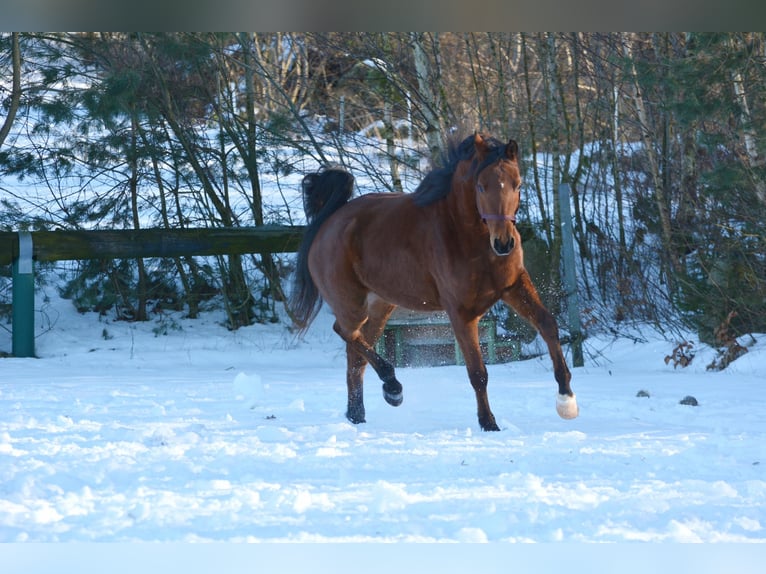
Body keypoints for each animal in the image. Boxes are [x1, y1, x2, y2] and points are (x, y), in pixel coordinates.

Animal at [290, 133, 578, 431]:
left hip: (380, 306)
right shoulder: (461, 312)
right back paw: (392, 386)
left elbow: (547, 324)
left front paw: (566, 400)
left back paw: (359, 413)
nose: (504, 243)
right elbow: (478, 372)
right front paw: (488, 424)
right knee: (345, 332)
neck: (468, 237)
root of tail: (329, 222)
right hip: (351, 304)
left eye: (517, 184)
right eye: (481, 186)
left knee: (355, 357)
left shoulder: (513, 287)